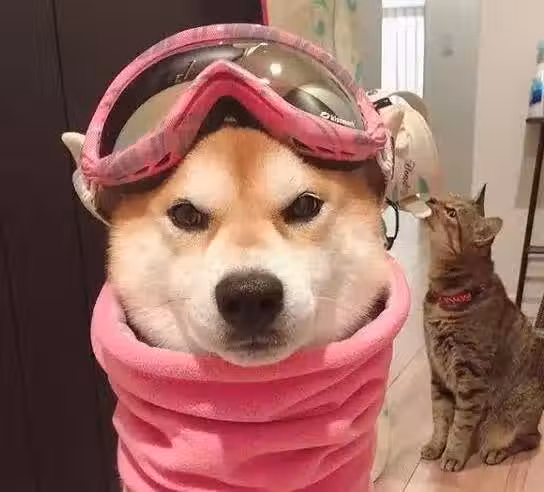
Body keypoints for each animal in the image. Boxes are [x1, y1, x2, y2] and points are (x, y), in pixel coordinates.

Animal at [421, 186, 544, 472]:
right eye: (445, 197)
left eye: (452, 213)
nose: (431, 199)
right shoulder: (437, 373)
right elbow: (440, 418)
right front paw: (436, 446)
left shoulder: (471, 378)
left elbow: (460, 426)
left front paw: (452, 456)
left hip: (511, 418)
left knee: (531, 439)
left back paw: (496, 452)